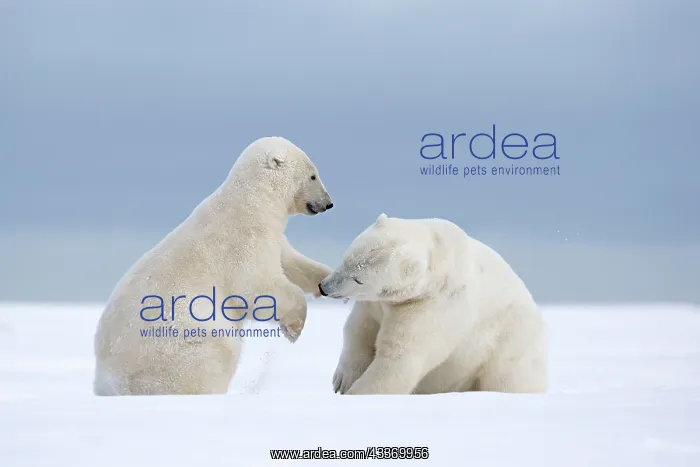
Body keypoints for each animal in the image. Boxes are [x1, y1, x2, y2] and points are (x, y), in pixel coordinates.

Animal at [93, 136, 335, 396]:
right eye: (313, 175)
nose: (329, 203)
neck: (253, 202)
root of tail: (105, 382)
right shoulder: (243, 242)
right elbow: (257, 288)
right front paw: (294, 329)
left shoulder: (273, 238)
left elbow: (292, 263)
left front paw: (327, 282)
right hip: (179, 340)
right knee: (218, 349)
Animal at [319, 213, 548, 395]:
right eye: (347, 259)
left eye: (358, 279)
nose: (324, 287)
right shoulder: (378, 304)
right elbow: (359, 329)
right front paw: (343, 381)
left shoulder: (432, 308)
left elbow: (400, 359)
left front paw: (356, 395)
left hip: (509, 345)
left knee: (509, 378)